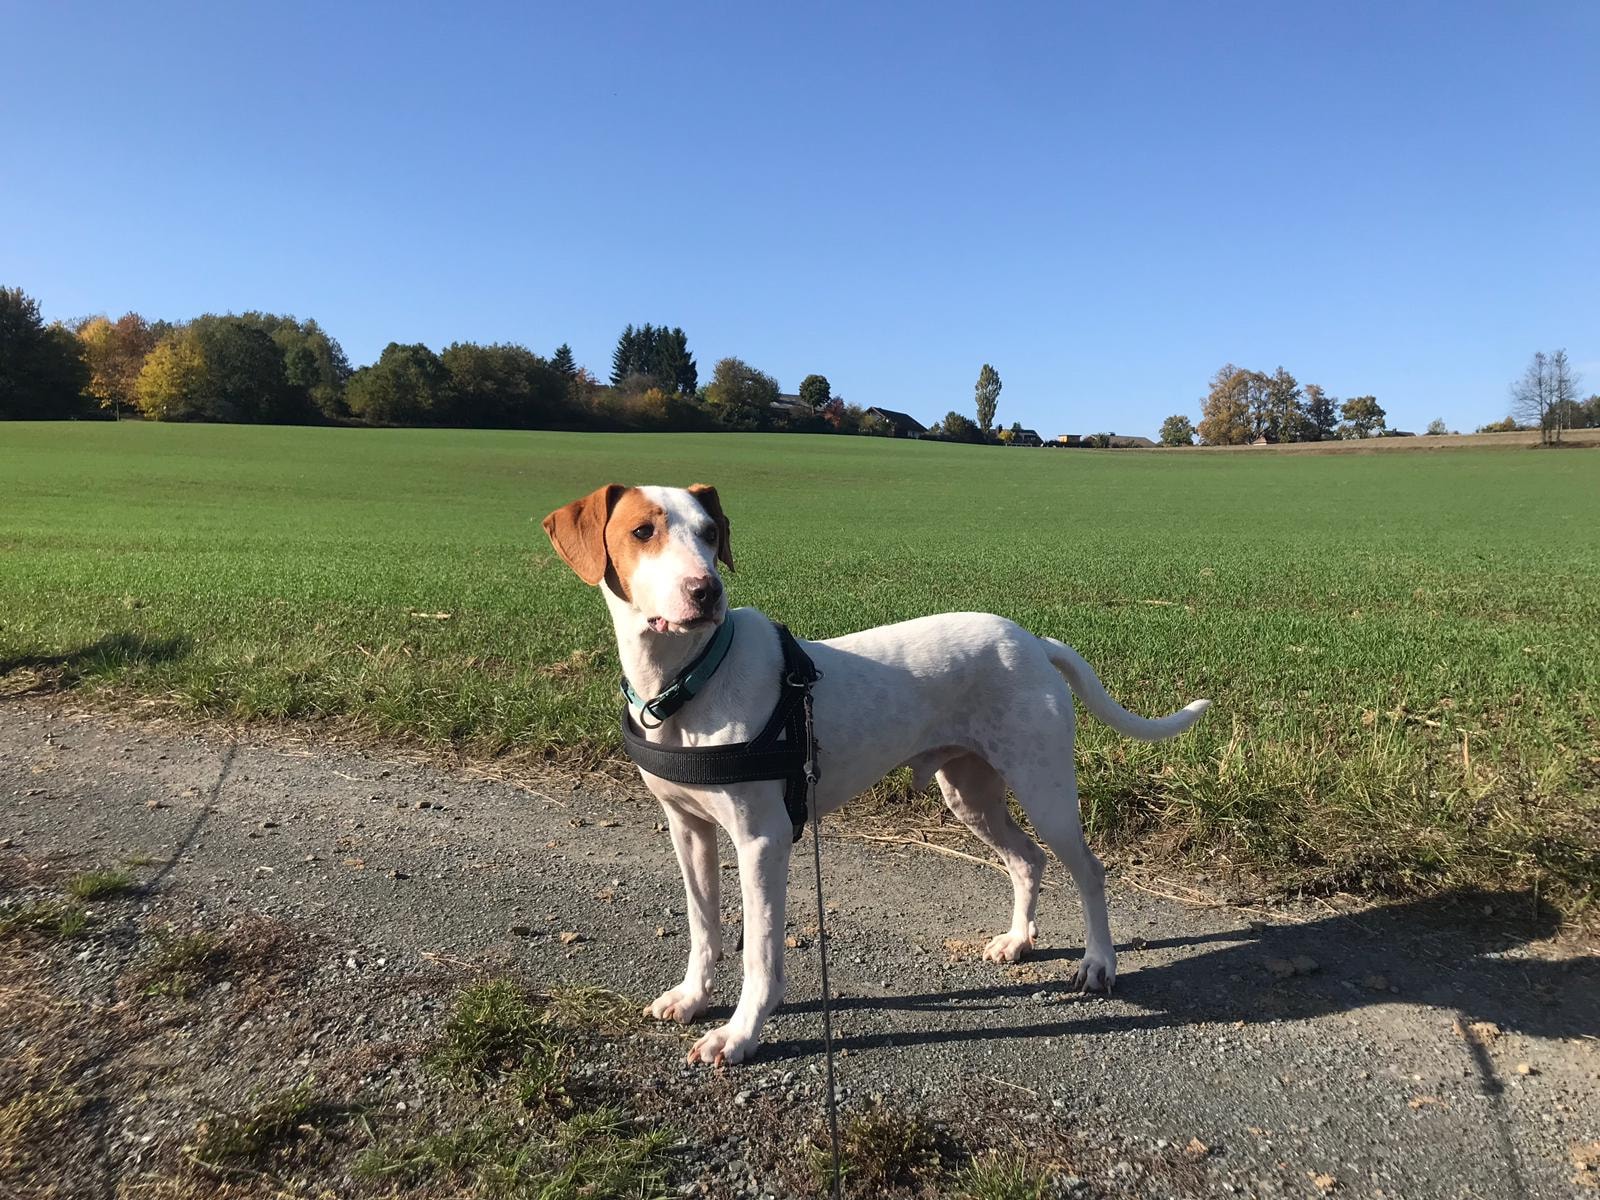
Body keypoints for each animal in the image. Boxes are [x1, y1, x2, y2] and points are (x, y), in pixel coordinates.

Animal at [542, 482, 1209, 1065]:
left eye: (710, 533)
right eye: (642, 531)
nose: (707, 591)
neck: (689, 682)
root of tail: (1032, 640)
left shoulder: (762, 840)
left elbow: (759, 950)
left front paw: (740, 1034)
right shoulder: (688, 829)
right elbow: (703, 924)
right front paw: (692, 997)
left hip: (1043, 787)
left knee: (1088, 869)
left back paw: (1099, 963)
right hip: (968, 792)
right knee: (1027, 859)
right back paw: (1017, 941)